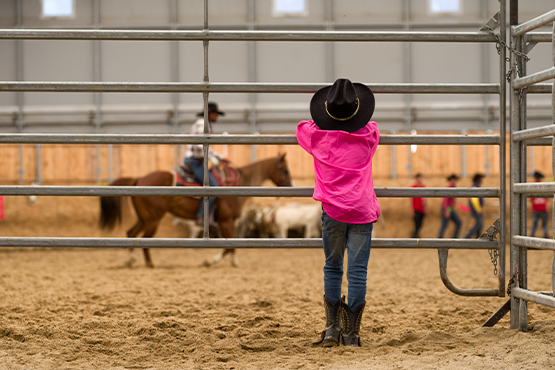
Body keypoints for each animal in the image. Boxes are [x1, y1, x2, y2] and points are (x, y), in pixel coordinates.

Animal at [99, 154, 296, 268]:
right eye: (285, 170)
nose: (292, 187)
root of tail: (139, 179)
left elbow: (232, 244)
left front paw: (234, 261)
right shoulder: (226, 221)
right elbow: (228, 245)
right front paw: (211, 261)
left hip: (144, 218)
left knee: (131, 233)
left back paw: (132, 260)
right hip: (153, 219)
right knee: (144, 239)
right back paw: (149, 264)